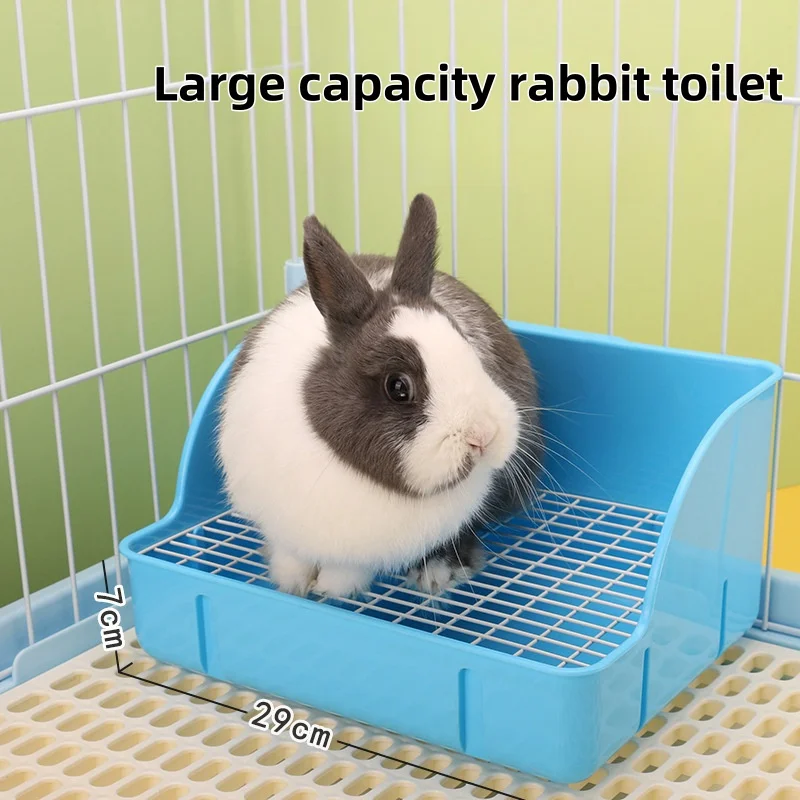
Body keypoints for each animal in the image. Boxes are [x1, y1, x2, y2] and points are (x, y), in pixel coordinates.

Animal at [216, 193, 542, 600]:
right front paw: (292, 583)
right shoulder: (281, 526)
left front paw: (330, 589)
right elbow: (291, 555)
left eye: (468, 347)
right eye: (398, 387)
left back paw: (435, 573)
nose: (483, 436)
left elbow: (347, 571)